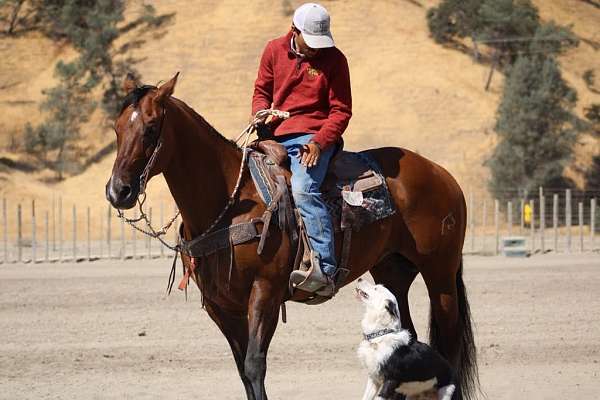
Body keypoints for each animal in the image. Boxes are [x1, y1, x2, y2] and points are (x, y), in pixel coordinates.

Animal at [103, 73, 478, 398]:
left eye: (151, 127)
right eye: (117, 127)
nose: (118, 191)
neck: (228, 202)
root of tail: (442, 174)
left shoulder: (265, 293)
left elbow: (254, 365)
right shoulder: (220, 306)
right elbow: (243, 370)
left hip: (441, 276)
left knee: (448, 347)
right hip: (393, 271)